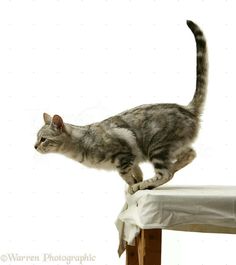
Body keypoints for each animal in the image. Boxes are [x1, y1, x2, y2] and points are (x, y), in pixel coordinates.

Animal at [34, 20, 207, 193]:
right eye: (37, 138)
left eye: (43, 139)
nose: (35, 146)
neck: (81, 141)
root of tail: (187, 109)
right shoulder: (133, 159)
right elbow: (136, 171)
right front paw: (136, 180)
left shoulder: (123, 156)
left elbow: (126, 175)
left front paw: (134, 186)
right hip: (174, 146)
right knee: (190, 155)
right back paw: (171, 168)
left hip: (157, 147)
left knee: (165, 173)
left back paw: (146, 184)